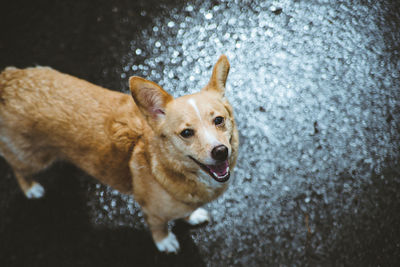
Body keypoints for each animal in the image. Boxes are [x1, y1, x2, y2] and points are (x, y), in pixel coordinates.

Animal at [0, 55, 238, 254]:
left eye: (218, 120)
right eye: (186, 133)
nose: (220, 151)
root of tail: (8, 80)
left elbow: (185, 211)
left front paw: (193, 215)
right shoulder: (154, 213)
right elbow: (159, 228)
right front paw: (165, 242)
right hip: (33, 160)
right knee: (17, 168)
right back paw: (31, 188)